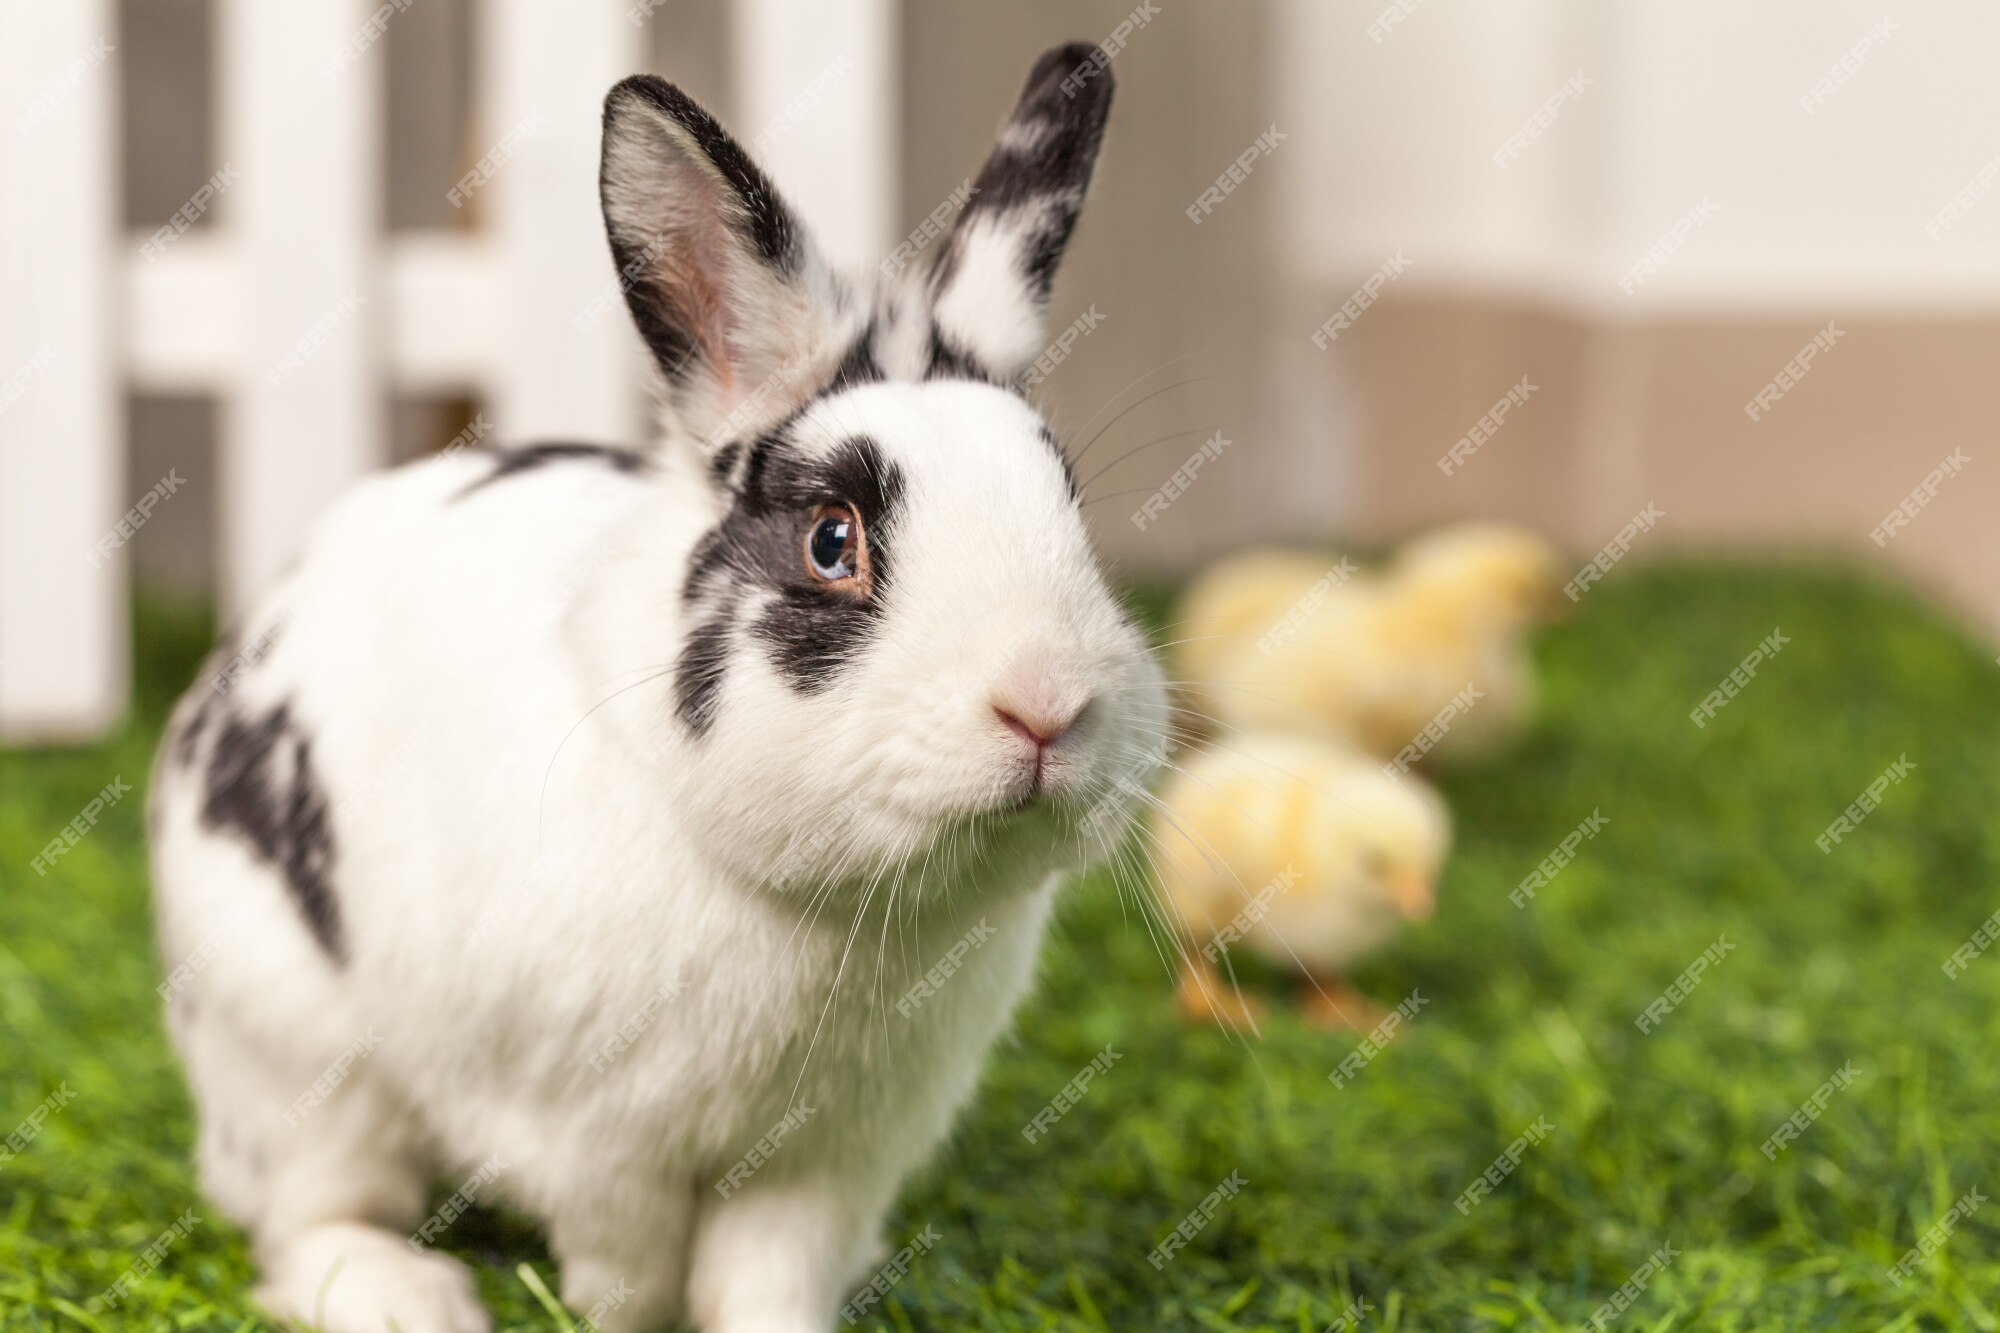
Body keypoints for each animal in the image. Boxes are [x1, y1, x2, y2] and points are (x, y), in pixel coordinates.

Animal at [148, 41, 1168, 1328]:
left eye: (1065, 506)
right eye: (831, 542)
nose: (1046, 703)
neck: (826, 905)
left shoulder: (829, 1161)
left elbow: (765, 1271)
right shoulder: (593, 1141)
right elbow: (626, 1271)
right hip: (298, 1052)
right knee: (305, 1216)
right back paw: (406, 1294)